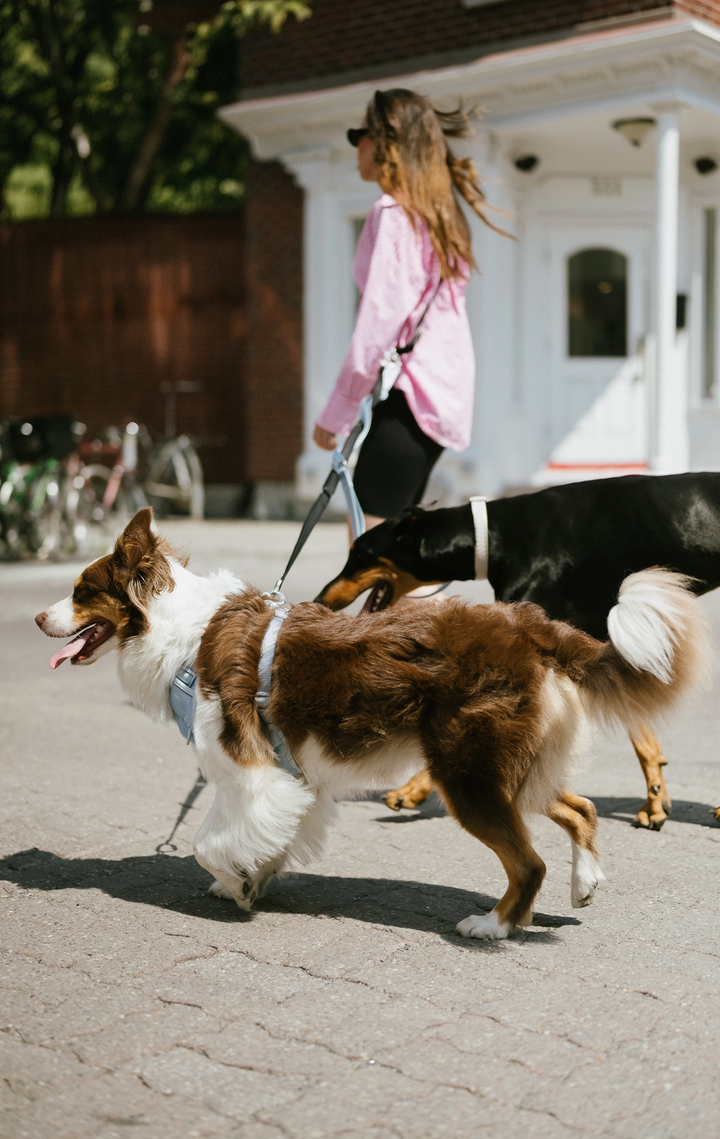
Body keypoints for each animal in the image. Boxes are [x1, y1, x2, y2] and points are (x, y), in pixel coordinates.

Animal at [36, 512, 706, 938]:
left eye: (81, 591)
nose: (41, 618)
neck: (180, 630)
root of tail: (530, 626)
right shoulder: (293, 778)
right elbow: (268, 836)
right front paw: (254, 877)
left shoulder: (251, 773)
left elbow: (207, 844)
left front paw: (238, 884)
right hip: (514, 767)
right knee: (581, 809)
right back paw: (583, 883)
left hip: (467, 773)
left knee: (528, 862)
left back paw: (492, 926)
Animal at [316, 471, 720, 829]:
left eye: (359, 554)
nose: (321, 598)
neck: (492, 538)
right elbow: (641, 733)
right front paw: (655, 801)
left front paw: (417, 787)